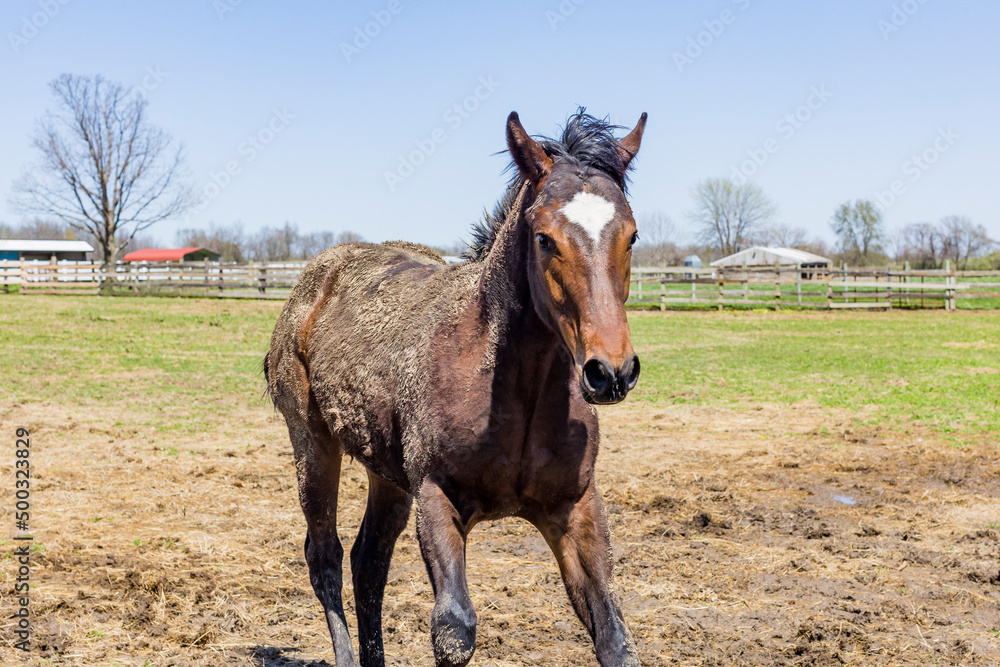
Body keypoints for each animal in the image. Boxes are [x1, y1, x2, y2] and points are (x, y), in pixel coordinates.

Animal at [265, 108, 647, 667]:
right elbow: (454, 631)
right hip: (312, 444)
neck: (514, 392)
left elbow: (614, 638)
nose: (611, 372)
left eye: (632, 236)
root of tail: (313, 280)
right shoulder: (436, 496)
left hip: (387, 471)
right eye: (544, 238)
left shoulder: (576, 505)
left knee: (368, 560)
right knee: (326, 557)